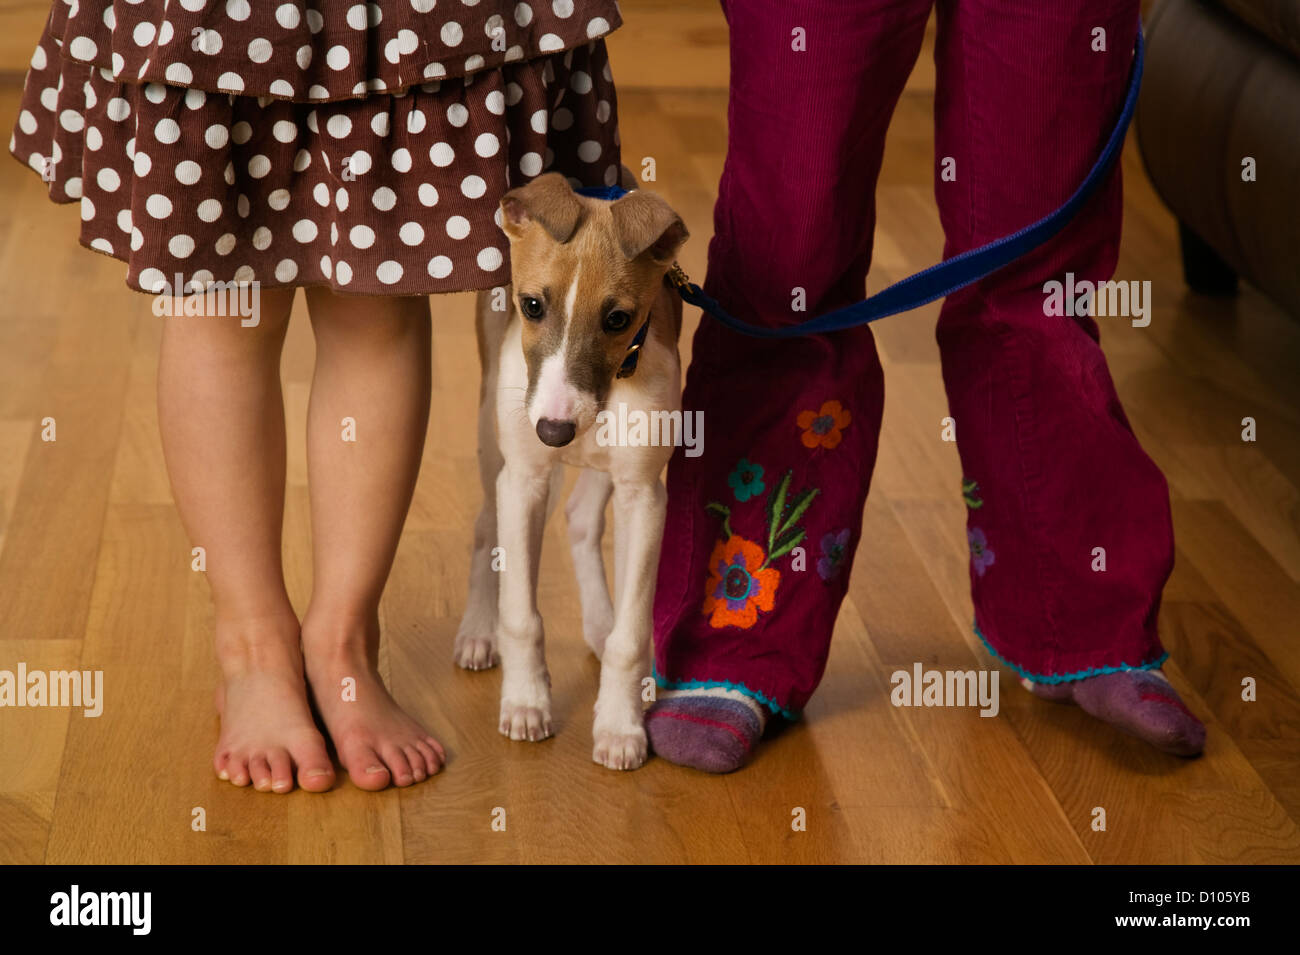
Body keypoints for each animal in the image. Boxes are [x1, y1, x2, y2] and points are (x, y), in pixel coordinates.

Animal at [452, 170, 686, 769]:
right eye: (532, 305)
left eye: (619, 319)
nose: (555, 432)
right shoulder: (525, 479)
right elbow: (521, 615)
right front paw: (526, 702)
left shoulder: (644, 494)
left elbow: (632, 634)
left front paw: (620, 725)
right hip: (491, 434)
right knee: (485, 524)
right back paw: (477, 631)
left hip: (606, 472)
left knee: (581, 519)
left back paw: (599, 623)